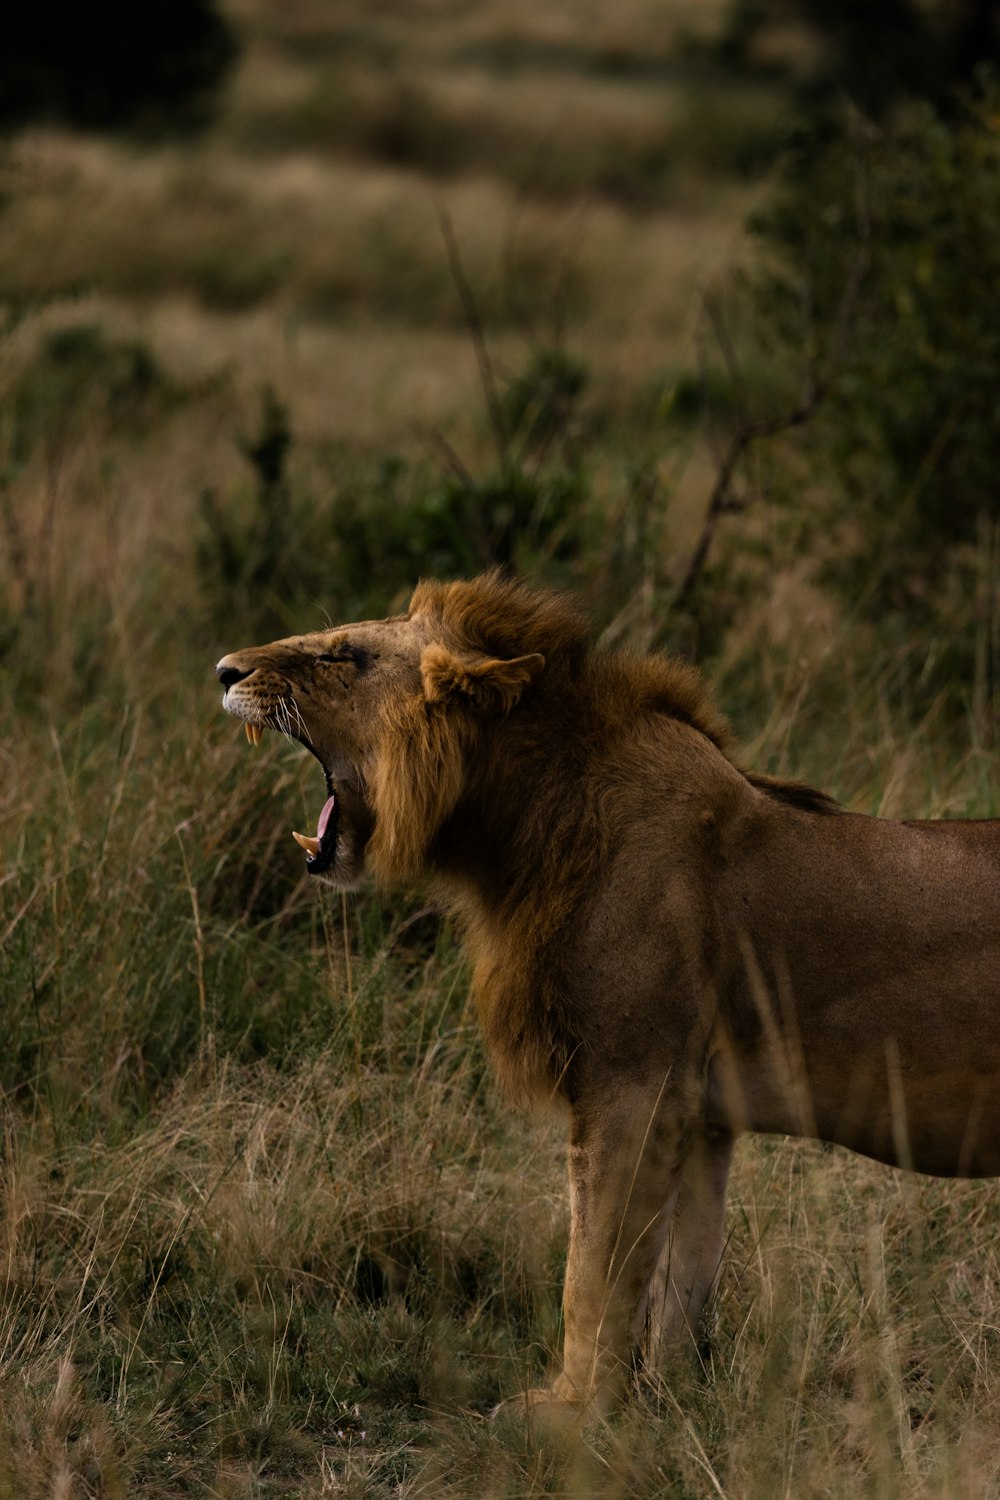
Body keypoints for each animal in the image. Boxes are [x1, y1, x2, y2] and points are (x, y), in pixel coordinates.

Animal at [215, 570, 1000, 1416]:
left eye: (345, 654)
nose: (224, 670)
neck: (520, 827)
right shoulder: (701, 1113)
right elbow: (684, 1277)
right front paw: (673, 1402)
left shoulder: (632, 1086)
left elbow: (591, 1273)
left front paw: (569, 1411)